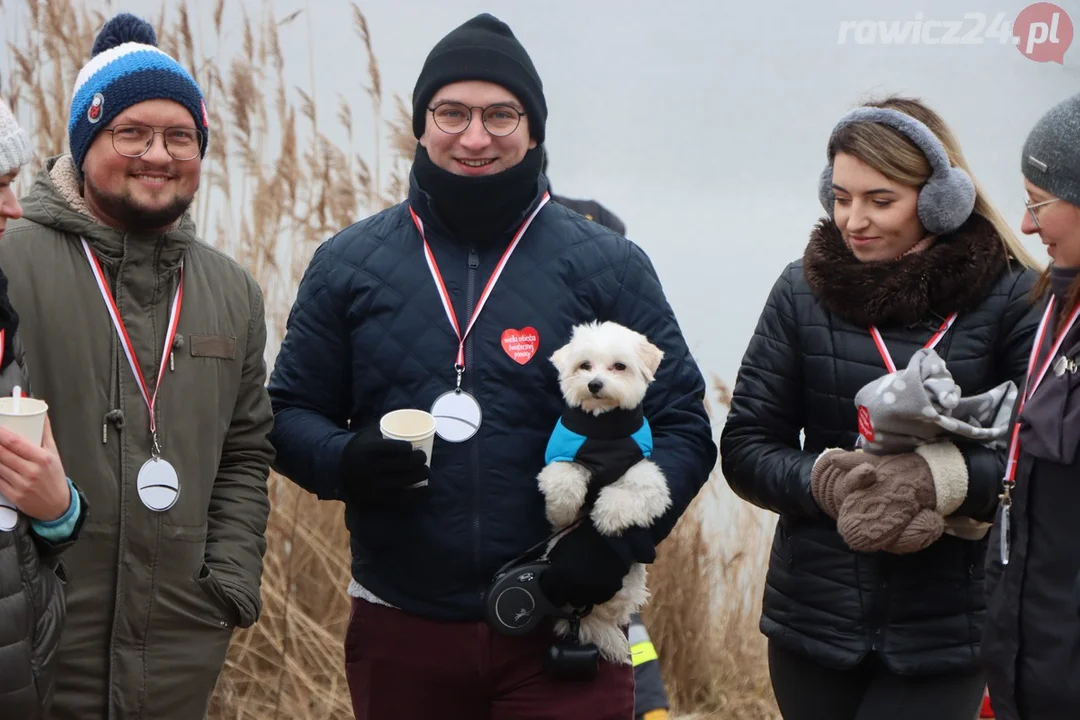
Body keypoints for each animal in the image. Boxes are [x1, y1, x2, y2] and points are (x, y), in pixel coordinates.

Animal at [535, 321, 669, 664]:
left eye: (619, 366)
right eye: (584, 366)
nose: (594, 384)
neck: (604, 431)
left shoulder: (646, 475)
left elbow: (625, 495)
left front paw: (607, 521)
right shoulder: (562, 459)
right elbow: (563, 482)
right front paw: (563, 512)